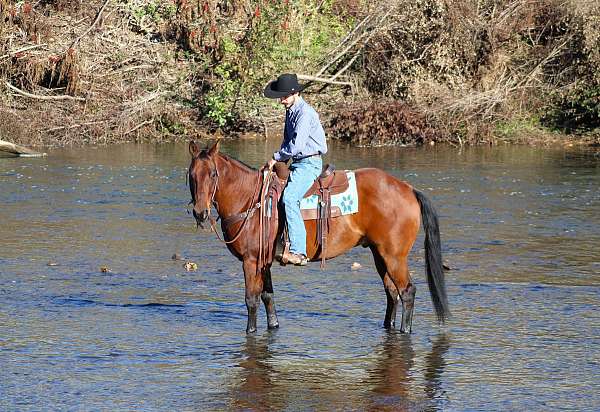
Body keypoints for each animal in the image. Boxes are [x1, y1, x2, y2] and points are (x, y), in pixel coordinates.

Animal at [188, 140, 450, 334]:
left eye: (213, 174)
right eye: (191, 174)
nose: (200, 213)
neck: (250, 199)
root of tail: (408, 188)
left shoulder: (251, 261)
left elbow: (251, 300)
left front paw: (250, 332)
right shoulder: (264, 261)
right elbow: (268, 296)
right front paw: (274, 326)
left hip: (394, 256)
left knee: (407, 291)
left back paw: (405, 331)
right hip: (380, 255)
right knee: (391, 293)